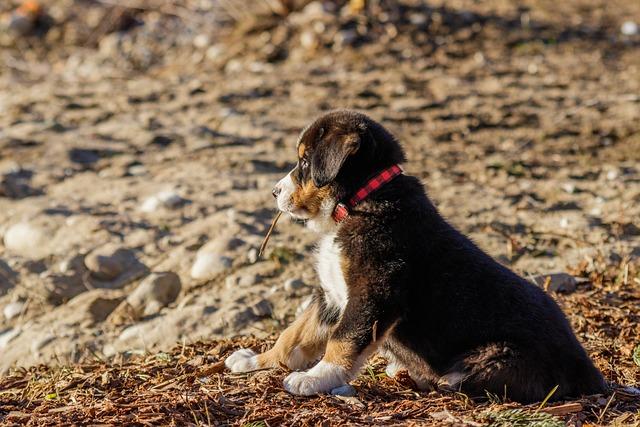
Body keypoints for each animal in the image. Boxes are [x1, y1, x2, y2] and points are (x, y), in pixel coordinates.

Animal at [226, 108, 604, 402]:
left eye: (305, 161)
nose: (274, 191)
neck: (358, 203)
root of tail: (588, 370)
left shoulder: (374, 293)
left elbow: (342, 340)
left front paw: (314, 378)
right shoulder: (330, 296)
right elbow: (293, 336)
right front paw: (254, 360)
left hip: (498, 357)